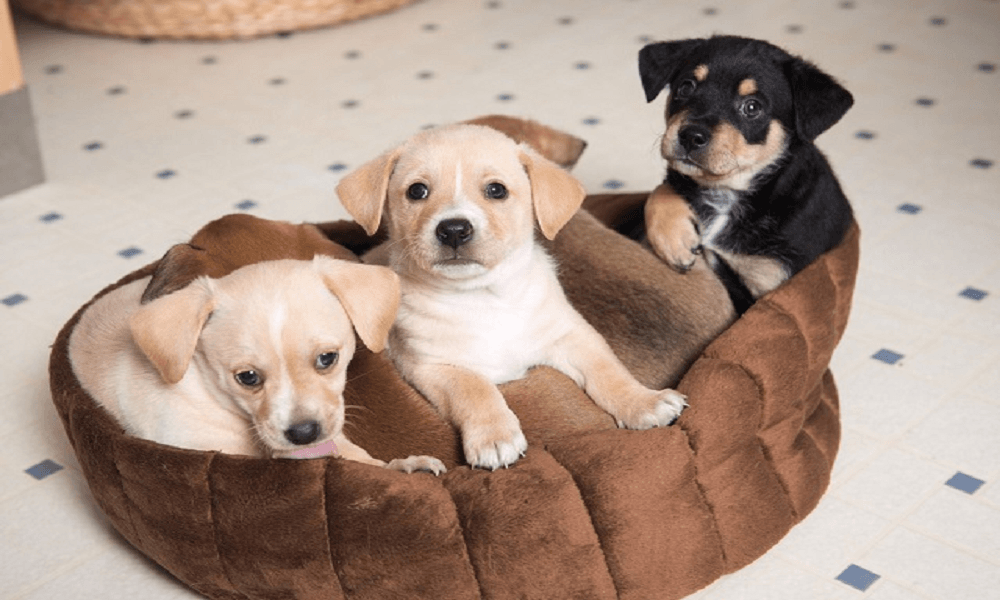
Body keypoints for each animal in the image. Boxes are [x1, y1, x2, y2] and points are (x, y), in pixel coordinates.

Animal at [68, 255, 444, 476]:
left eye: (328, 359)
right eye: (247, 377)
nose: (304, 434)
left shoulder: (332, 436)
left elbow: (361, 459)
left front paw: (402, 465)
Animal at [336, 124, 688, 472]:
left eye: (496, 190)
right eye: (417, 191)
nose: (454, 230)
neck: (484, 297)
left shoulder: (571, 336)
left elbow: (609, 371)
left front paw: (643, 402)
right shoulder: (432, 366)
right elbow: (476, 389)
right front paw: (495, 437)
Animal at [636, 35, 856, 314]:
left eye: (752, 107)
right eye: (686, 87)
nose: (690, 136)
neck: (728, 194)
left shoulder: (768, 284)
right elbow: (661, 189)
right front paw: (674, 240)